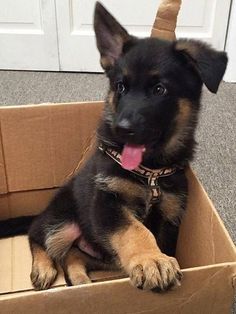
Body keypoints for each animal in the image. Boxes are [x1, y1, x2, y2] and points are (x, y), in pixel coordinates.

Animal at [0, 2, 228, 292]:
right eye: (120, 86)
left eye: (159, 89)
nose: (122, 128)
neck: (150, 172)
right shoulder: (108, 204)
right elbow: (135, 230)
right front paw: (152, 260)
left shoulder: (170, 215)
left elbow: (156, 238)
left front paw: (158, 258)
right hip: (62, 223)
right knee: (37, 234)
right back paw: (43, 266)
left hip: (104, 252)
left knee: (73, 256)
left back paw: (82, 282)